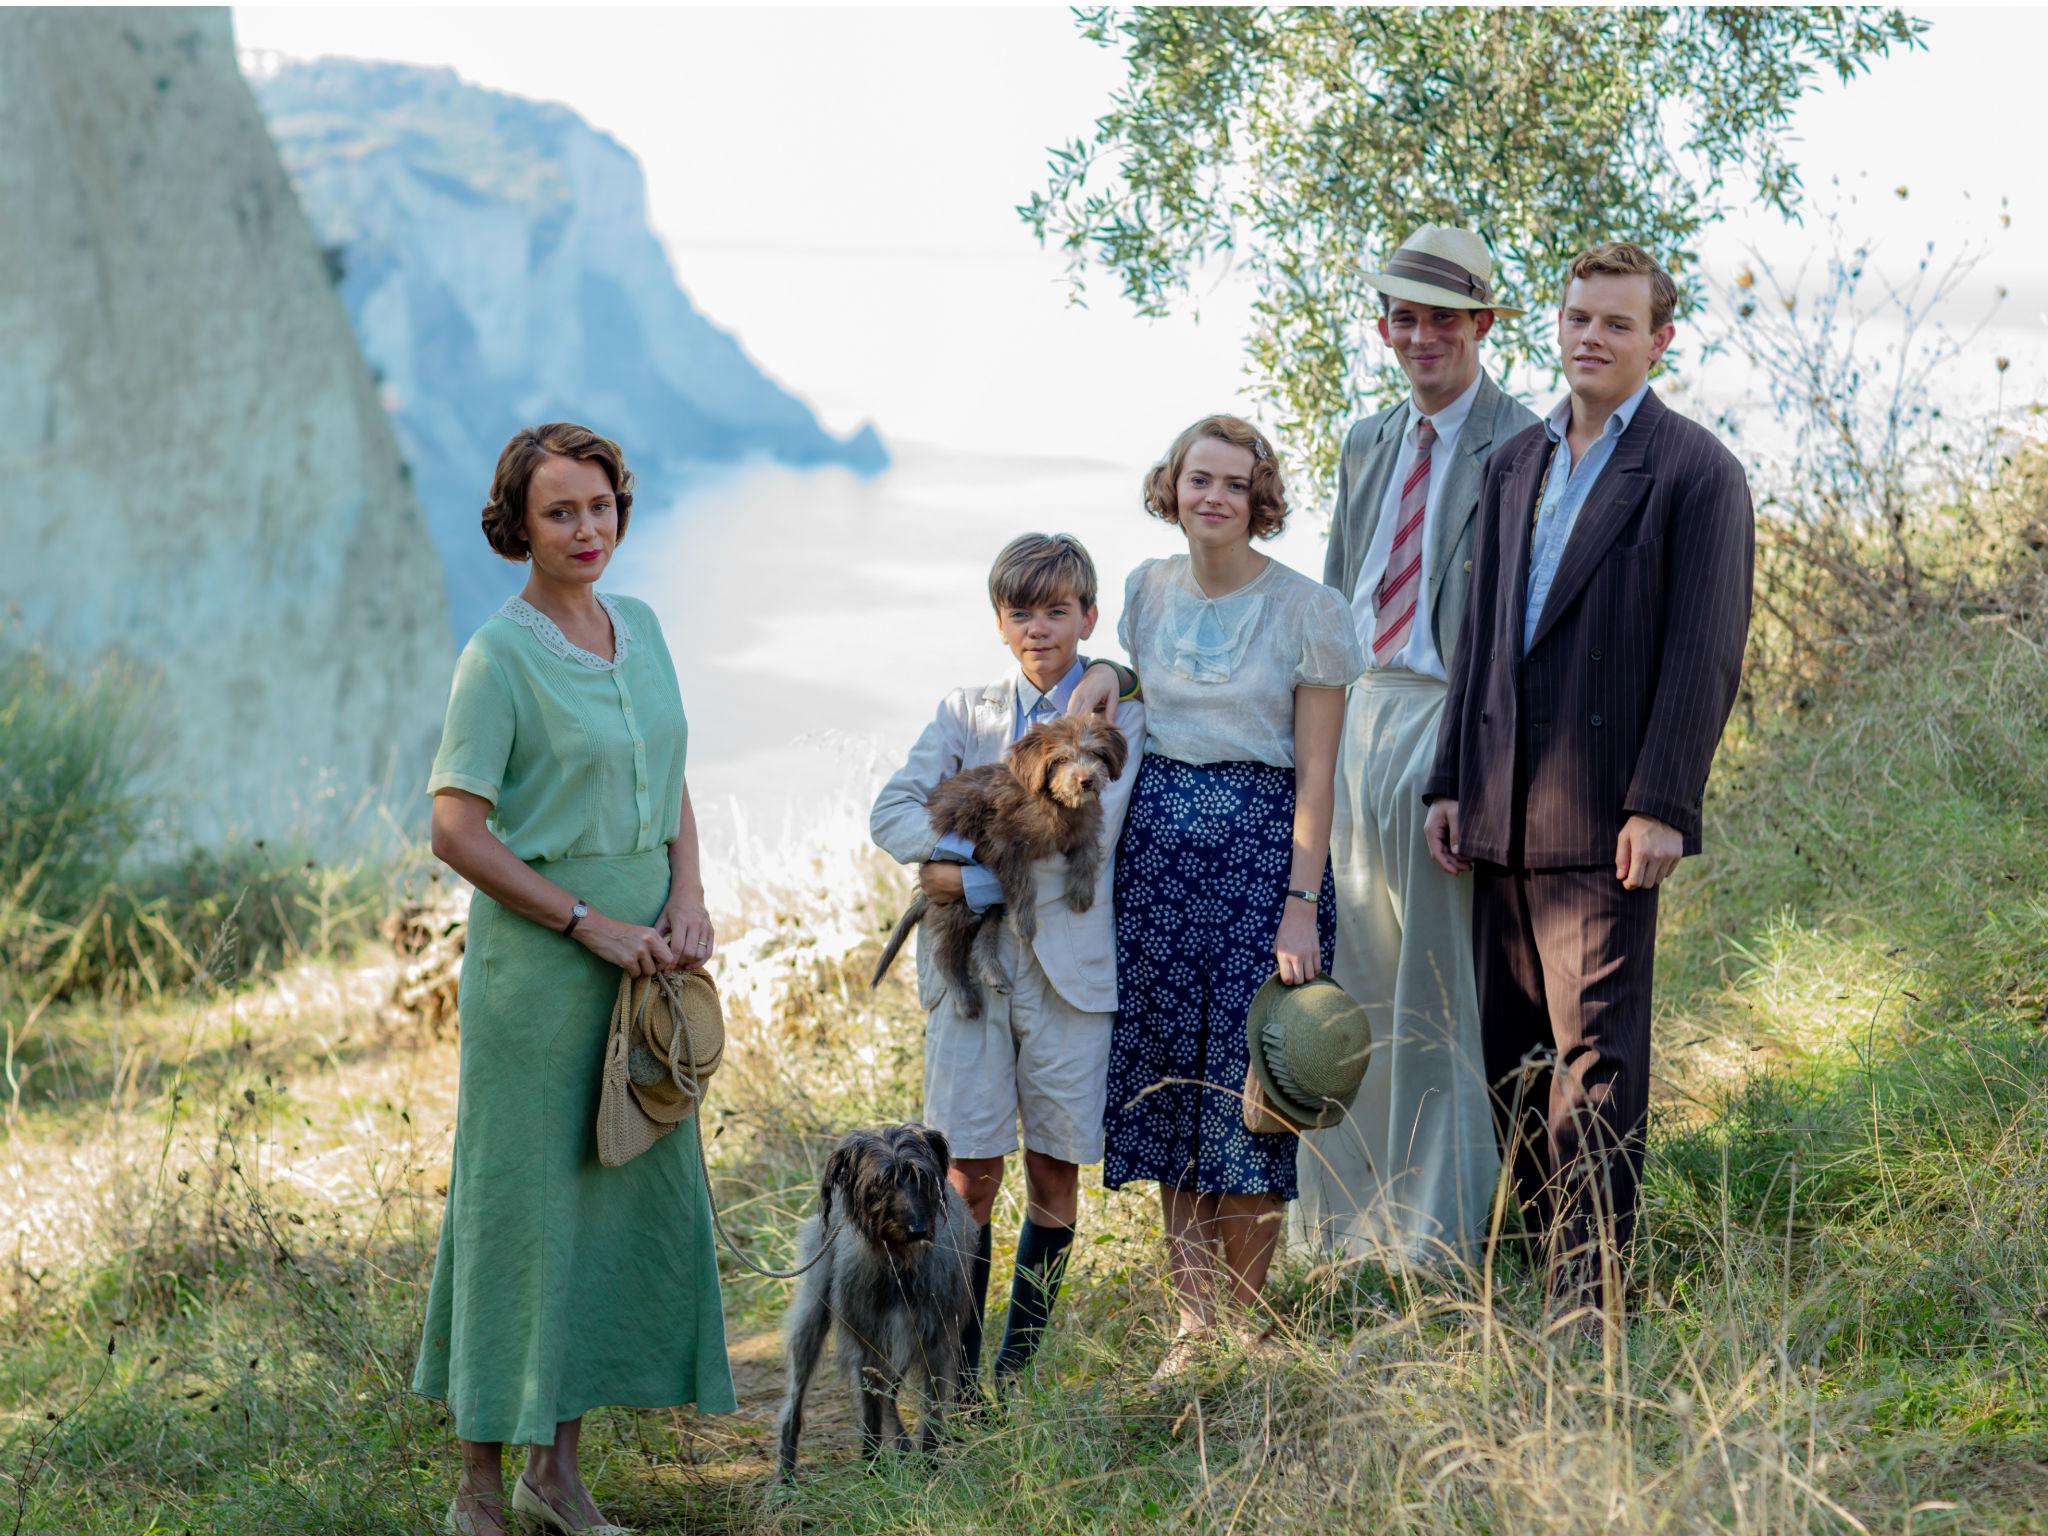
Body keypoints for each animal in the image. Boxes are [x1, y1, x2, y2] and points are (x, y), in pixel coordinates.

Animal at [778, 1122, 978, 1482]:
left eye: (920, 1176)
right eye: (881, 1182)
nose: (917, 1230)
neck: (898, 1266)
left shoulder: (934, 1341)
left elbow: (930, 1411)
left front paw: (929, 1467)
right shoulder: (867, 1344)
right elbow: (870, 1411)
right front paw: (873, 1470)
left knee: (891, 1395)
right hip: (812, 1318)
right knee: (794, 1401)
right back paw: (785, 1474)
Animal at [868, 720, 1130, 1024]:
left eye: (1095, 753)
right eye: (1062, 759)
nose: (1086, 780)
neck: (1055, 803)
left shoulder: (1085, 824)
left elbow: (1088, 851)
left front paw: (1081, 893)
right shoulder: (1003, 841)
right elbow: (1024, 882)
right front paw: (1025, 924)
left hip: (987, 906)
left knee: (983, 938)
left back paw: (993, 975)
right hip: (958, 904)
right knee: (944, 953)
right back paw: (964, 997)